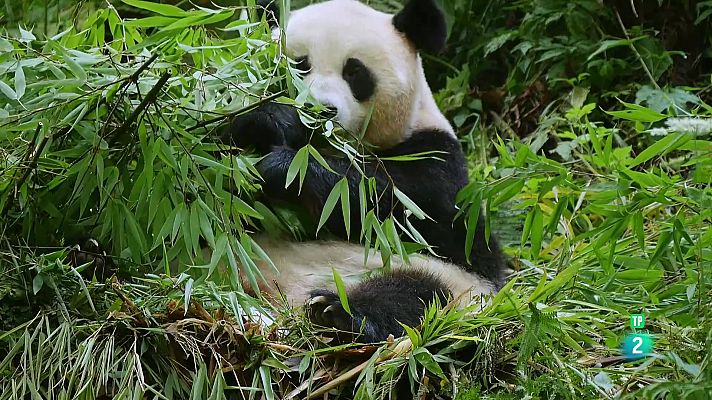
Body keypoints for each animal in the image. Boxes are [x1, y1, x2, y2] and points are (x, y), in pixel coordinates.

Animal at [220, 0, 507, 343]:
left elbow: (402, 204)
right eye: (300, 65)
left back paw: (338, 313)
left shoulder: (436, 155)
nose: (320, 110)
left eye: (354, 72)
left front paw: (283, 168)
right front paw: (268, 122)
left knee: (413, 295)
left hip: (443, 280)